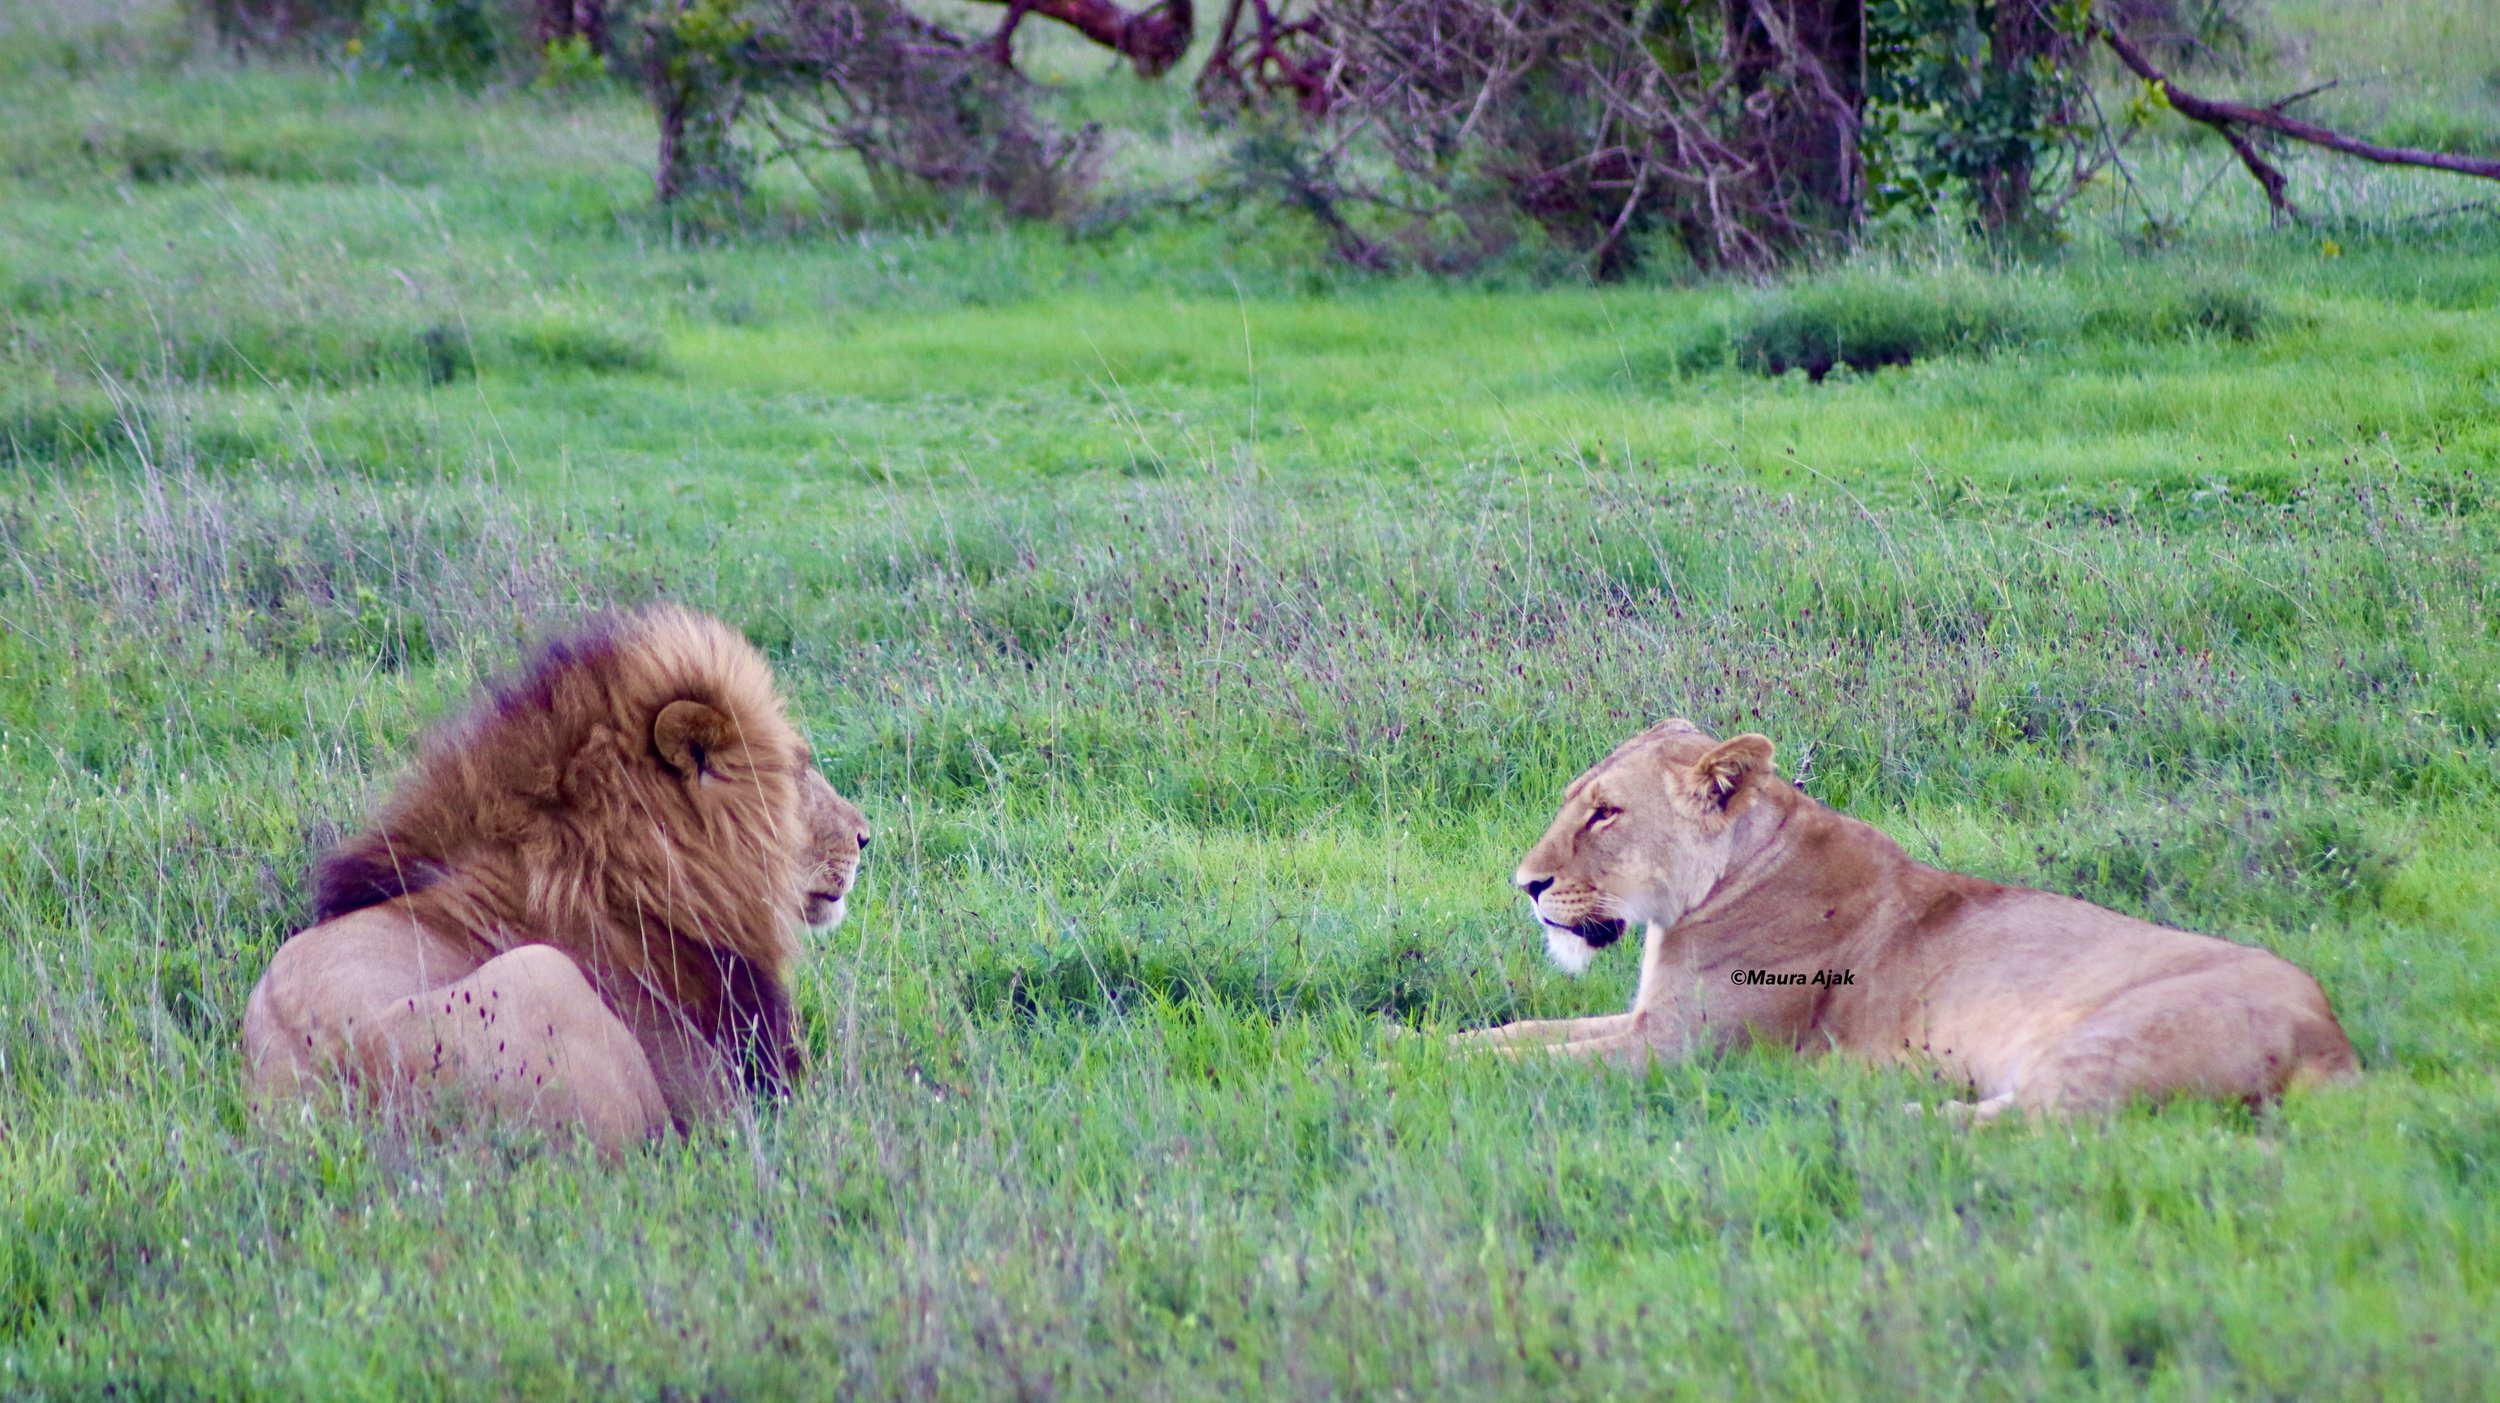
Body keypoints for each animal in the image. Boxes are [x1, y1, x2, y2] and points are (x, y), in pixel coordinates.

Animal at [1454, 720, 2359, 1119]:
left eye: (1605, 813)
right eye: (1576, 801)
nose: (1525, 884)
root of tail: (2332, 1035)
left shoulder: (1679, 1050)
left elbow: (1536, 1066)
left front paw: (1419, 1071)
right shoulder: (1648, 1020)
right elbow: (1520, 1033)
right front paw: (1434, 1039)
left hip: (2108, 1038)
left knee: (2026, 1126)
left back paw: (1878, 1107)